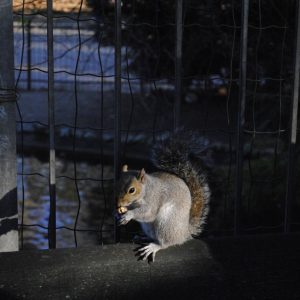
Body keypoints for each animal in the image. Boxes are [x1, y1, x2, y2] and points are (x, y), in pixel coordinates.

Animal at [116, 132, 210, 262]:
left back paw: (154, 247)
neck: (146, 190)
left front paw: (129, 215)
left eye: (132, 190)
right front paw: (119, 214)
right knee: (153, 236)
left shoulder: (154, 200)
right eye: (117, 184)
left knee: (165, 243)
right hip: (149, 227)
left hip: (166, 224)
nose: (119, 204)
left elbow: (148, 213)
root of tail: (184, 233)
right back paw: (144, 238)